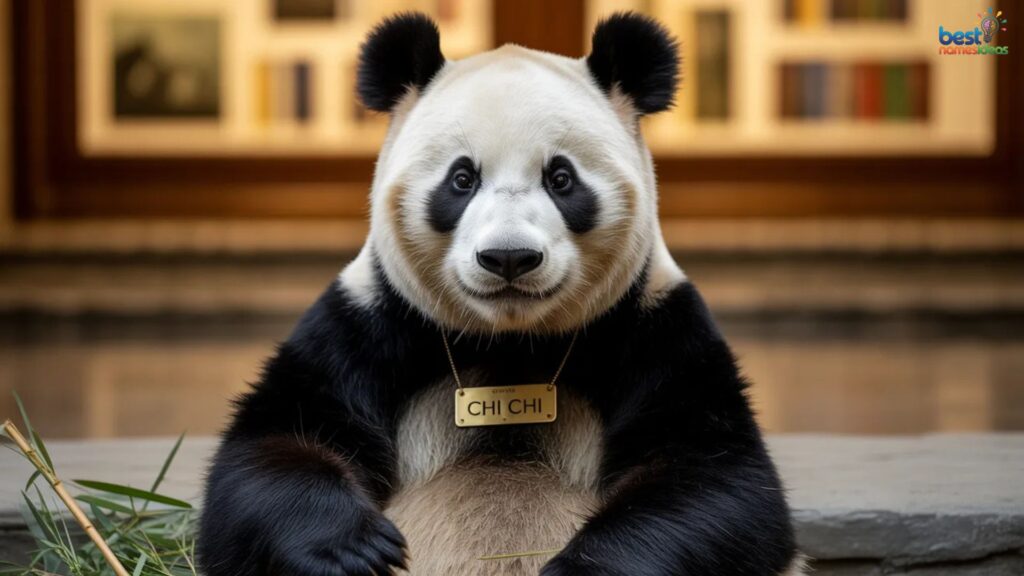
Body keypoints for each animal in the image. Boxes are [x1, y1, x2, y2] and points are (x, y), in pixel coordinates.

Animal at [199, 12, 802, 576]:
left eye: (561, 178)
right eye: (462, 179)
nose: (509, 257)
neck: (510, 341)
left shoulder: (656, 328)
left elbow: (716, 478)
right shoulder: (366, 325)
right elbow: (277, 444)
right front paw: (354, 547)